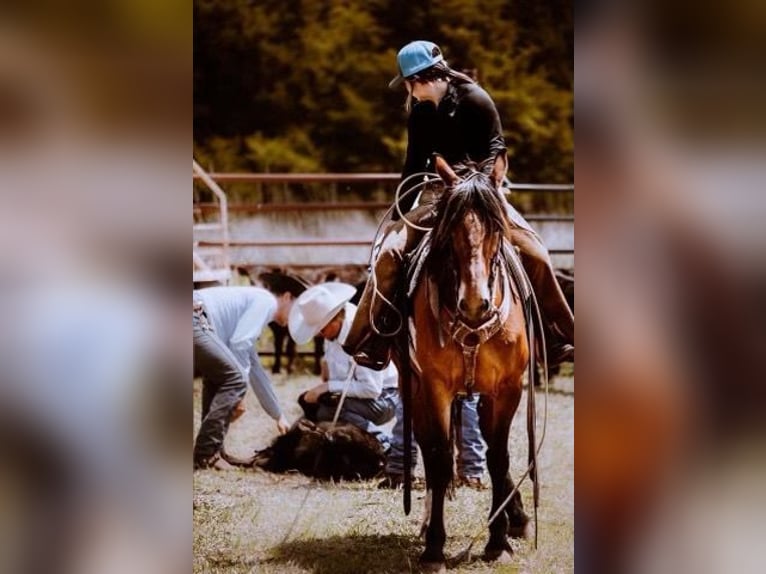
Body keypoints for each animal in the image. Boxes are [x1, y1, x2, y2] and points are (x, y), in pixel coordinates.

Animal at [402, 155, 536, 572]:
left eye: (497, 227)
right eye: (449, 232)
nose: (475, 304)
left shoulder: (507, 388)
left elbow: (498, 458)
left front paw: (498, 541)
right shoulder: (434, 388)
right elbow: (440, 459)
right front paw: (434, 547)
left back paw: (516, 518)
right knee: (430, 451)